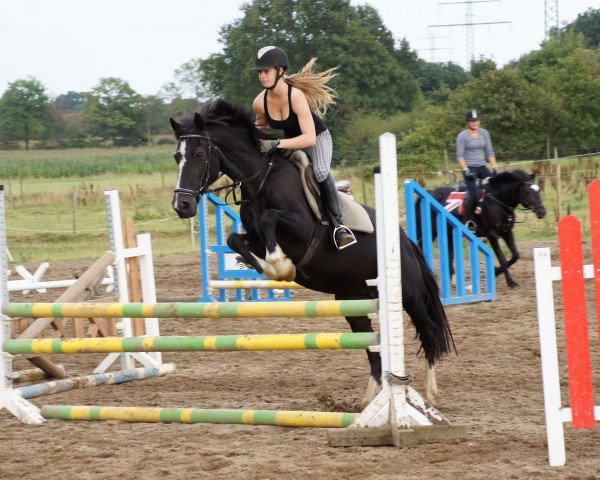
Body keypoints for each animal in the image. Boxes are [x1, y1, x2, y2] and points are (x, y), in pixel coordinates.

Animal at [171, 99, 452, 404]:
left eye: (199, 154)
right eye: (176, 156)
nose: (181, 205)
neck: (261, 181)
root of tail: (404, 239)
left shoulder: (303, 230)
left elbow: (269, 218)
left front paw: (282, 266)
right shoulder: (254, 238)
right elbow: (236, 239)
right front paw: (274, 267)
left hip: (408, 293)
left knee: (429, 330)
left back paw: (430, 391)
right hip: (352, 300)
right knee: (372, 346)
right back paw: (368, 398)